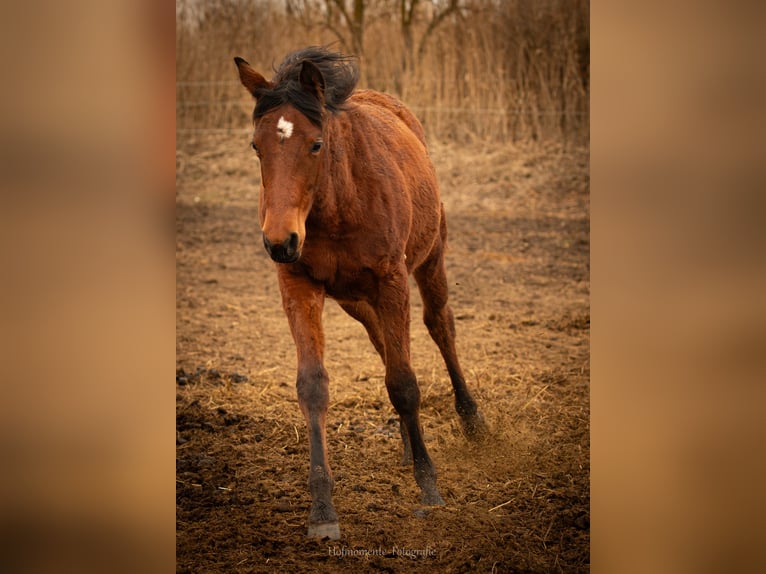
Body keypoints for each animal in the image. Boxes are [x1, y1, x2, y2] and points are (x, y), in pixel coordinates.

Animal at [234, 46, 485, 540]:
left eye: (315, 144)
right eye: (257, 146)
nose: (279, 242)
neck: (337, 202)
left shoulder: (392, 281)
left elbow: (404, 383)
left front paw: (429, 486)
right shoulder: (298, 285)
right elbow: (313, 387)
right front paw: (322, 509)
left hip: (429, 260)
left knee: (439, 326)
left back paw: (471, 421)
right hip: (355, 300)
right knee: (384, 345)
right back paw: (407, 444)